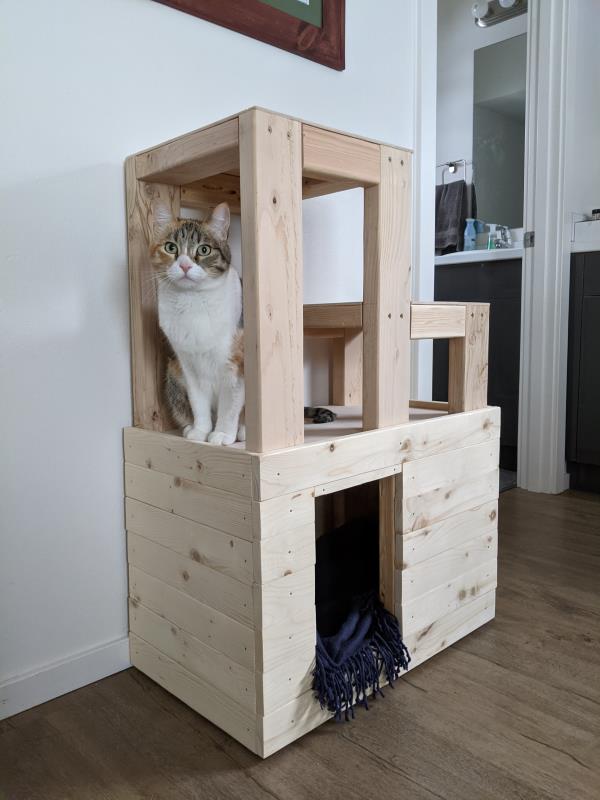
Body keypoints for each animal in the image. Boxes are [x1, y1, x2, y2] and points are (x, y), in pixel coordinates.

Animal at [151, 200, 338, 444]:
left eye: (203, 250)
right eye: (171, 247)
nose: (184, 266)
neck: (192, 302)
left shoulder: (236, 365)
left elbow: (229, 406)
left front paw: (222, 433)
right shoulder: (188, 365)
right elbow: (198, 402)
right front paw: (201, 431)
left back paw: (244, 431)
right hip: (173, 372)